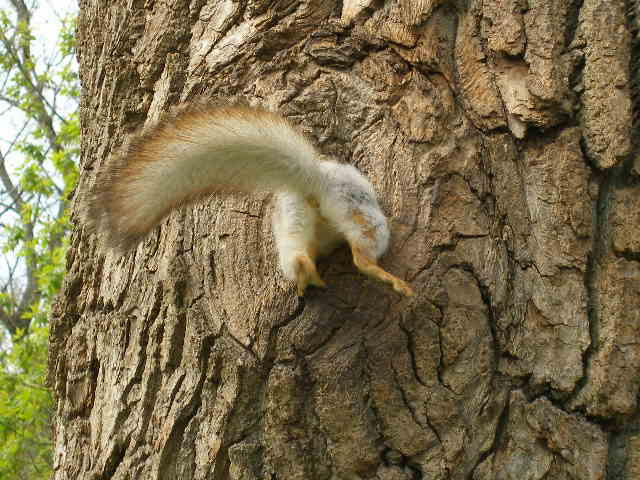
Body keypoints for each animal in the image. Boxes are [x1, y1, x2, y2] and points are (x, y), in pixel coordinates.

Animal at [89, 105, 413, 297]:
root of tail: (313, 179)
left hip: (293, 221)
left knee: (296, 253)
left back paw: (306, 275)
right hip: (358, 211)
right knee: (362, 253)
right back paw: (387, 278)